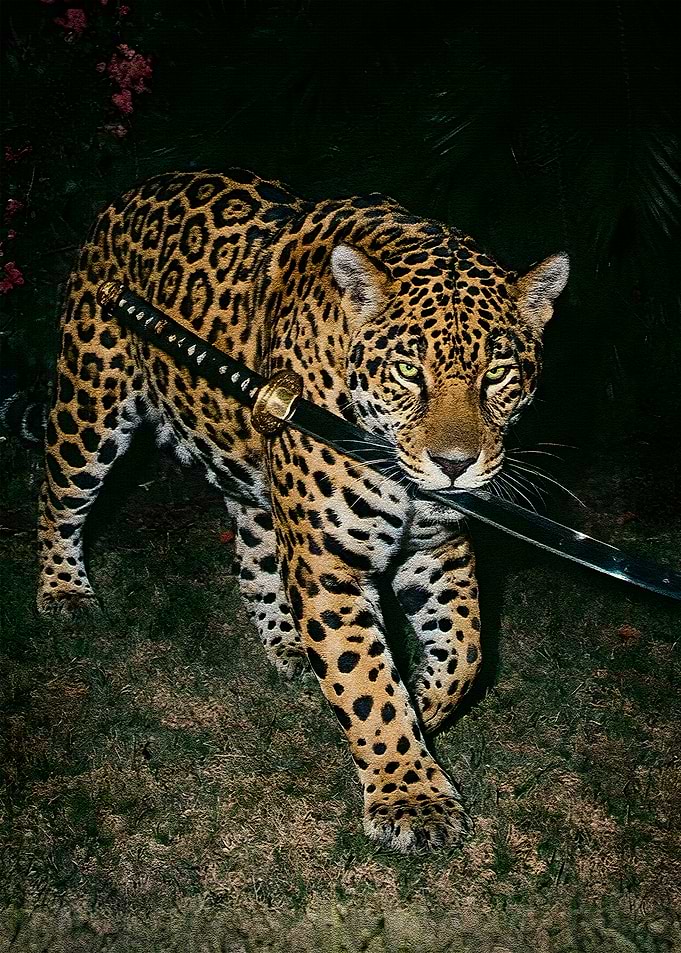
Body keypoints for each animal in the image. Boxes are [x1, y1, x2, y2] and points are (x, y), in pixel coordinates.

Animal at [37, 169, 568, 852]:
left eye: (498, 374)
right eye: (407, 371)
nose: (455, 465)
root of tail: (132, 192)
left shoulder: (437, 550)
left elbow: (466, 654)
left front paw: (423, 704)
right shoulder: (328, 564)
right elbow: (368, 683)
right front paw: (412, 798)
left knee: (253, 557)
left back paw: (287, 642)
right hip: (90, 407)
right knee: (57, 497)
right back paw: (63, 591)